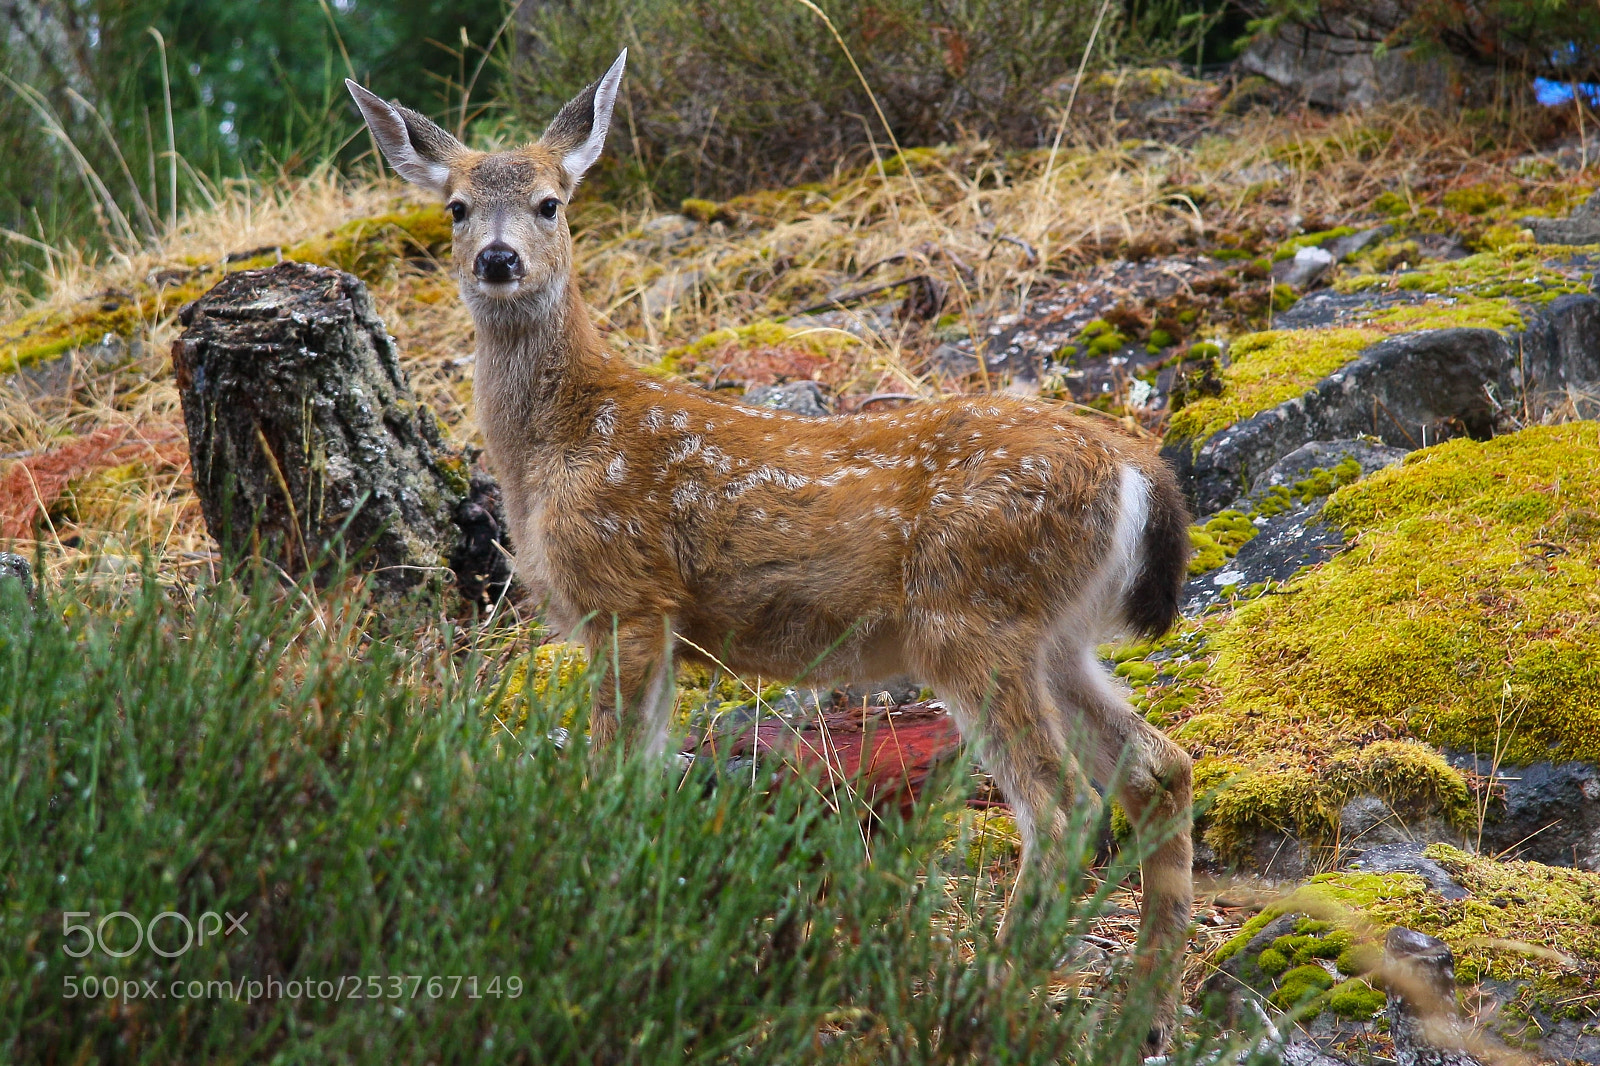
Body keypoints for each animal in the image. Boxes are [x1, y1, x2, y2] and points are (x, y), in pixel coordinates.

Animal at [347, 51, 1195, 1052]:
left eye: (552, 202)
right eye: (455, 208)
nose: (498, 258)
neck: (563, 439)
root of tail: (1136, 467)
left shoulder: (626, 593)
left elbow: (611, 775)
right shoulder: (666, 623)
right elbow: (645, 778)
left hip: (968, 615)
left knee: (1061, 806)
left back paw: (984, 996)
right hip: (1054, 633)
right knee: (1158, 767)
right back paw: (1143, 1016)